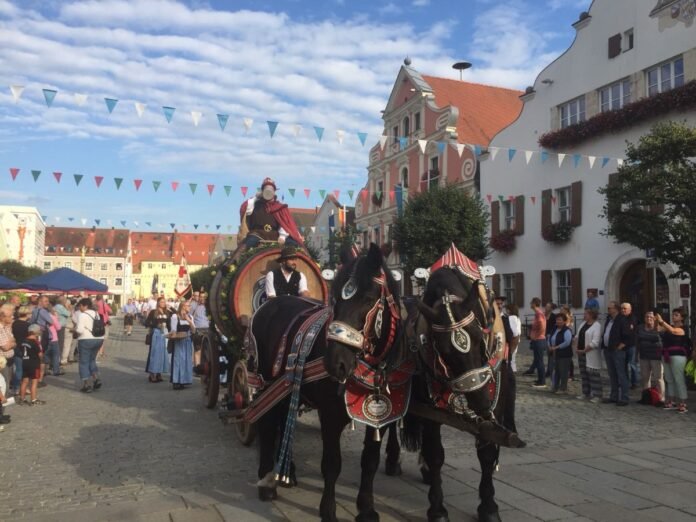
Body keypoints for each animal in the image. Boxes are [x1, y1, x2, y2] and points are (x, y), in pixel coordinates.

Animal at [250, 242, 402, 516]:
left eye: (368, 298)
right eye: (335, 300)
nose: (335, 363)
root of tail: (271, 304)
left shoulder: (381, 419)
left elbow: (370, 461)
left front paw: (366, 508)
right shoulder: (330, 414)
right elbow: (331, 463)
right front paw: (328, 509)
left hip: (285, 388)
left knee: (282, 421)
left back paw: (286, 472)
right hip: (266, 383)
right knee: (267, 423)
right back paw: (267, 481)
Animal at [326, 262, 520, 516]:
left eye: (480, 337)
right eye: (442, 349)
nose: (479, 401)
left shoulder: (496, 403)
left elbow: (487, 452)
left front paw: (488, 507)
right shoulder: (431, 412)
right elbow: (435, 453)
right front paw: (437, 508)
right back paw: (394, 460)